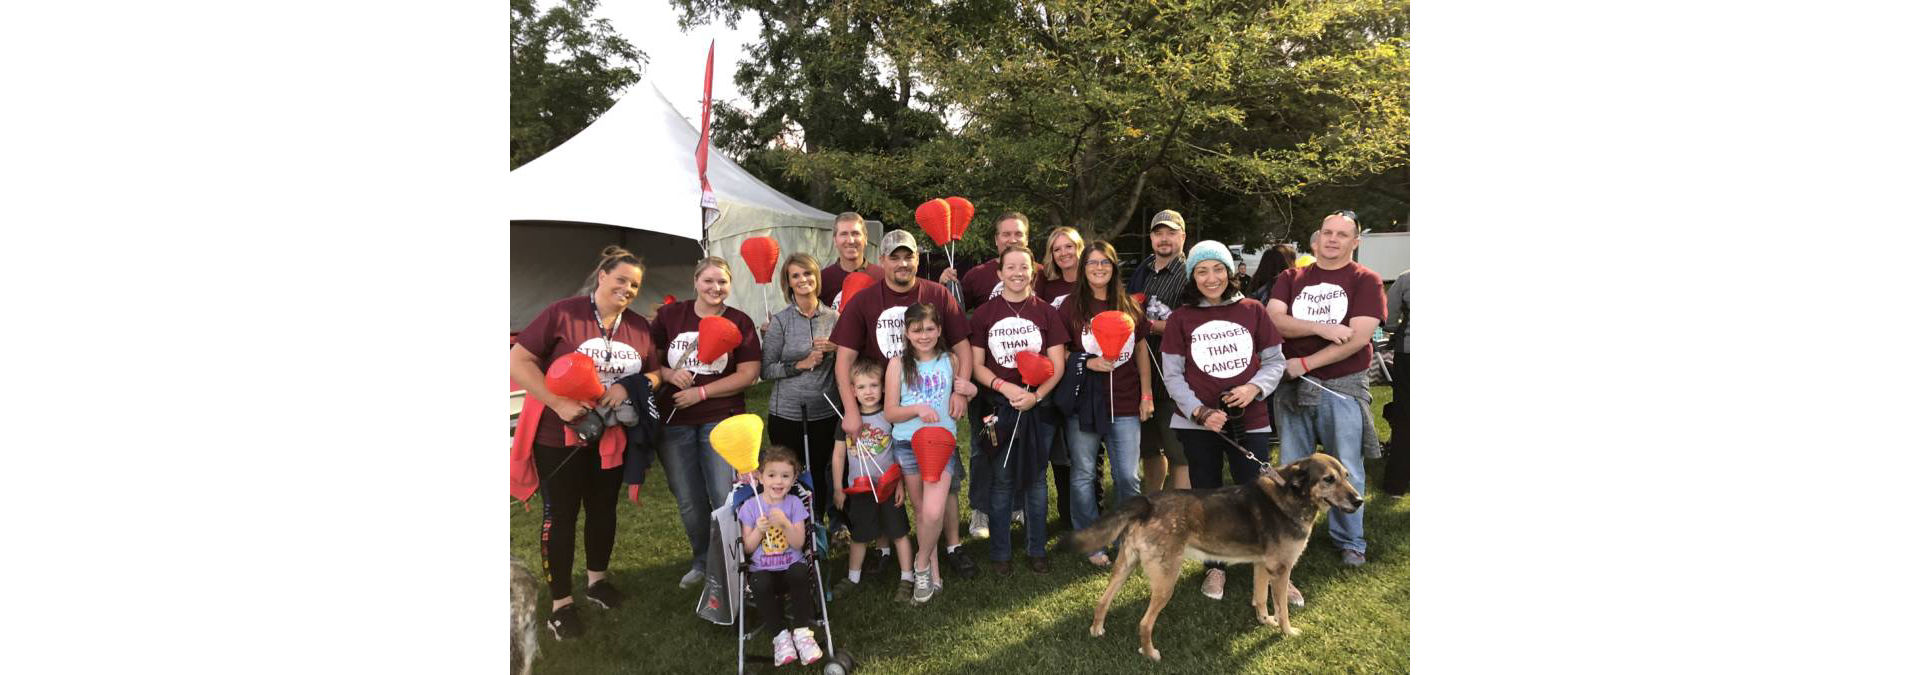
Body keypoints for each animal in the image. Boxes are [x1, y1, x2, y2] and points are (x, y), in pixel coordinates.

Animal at [1075, 452, 1359, 659]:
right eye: (1328, 479)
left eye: (1346, 475)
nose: (1359, 501)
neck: (1293, 493)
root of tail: (1147, 503)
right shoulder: (1280, 570)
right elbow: (1283, 610)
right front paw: (1287, 632)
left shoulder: (1261, 565)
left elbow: (1260, 599)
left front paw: (1264, 621)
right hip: (1166, 581)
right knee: (1145, 623)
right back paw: (1150, 653)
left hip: (1124, 567)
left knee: (1102, 601)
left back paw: (1097, 629)